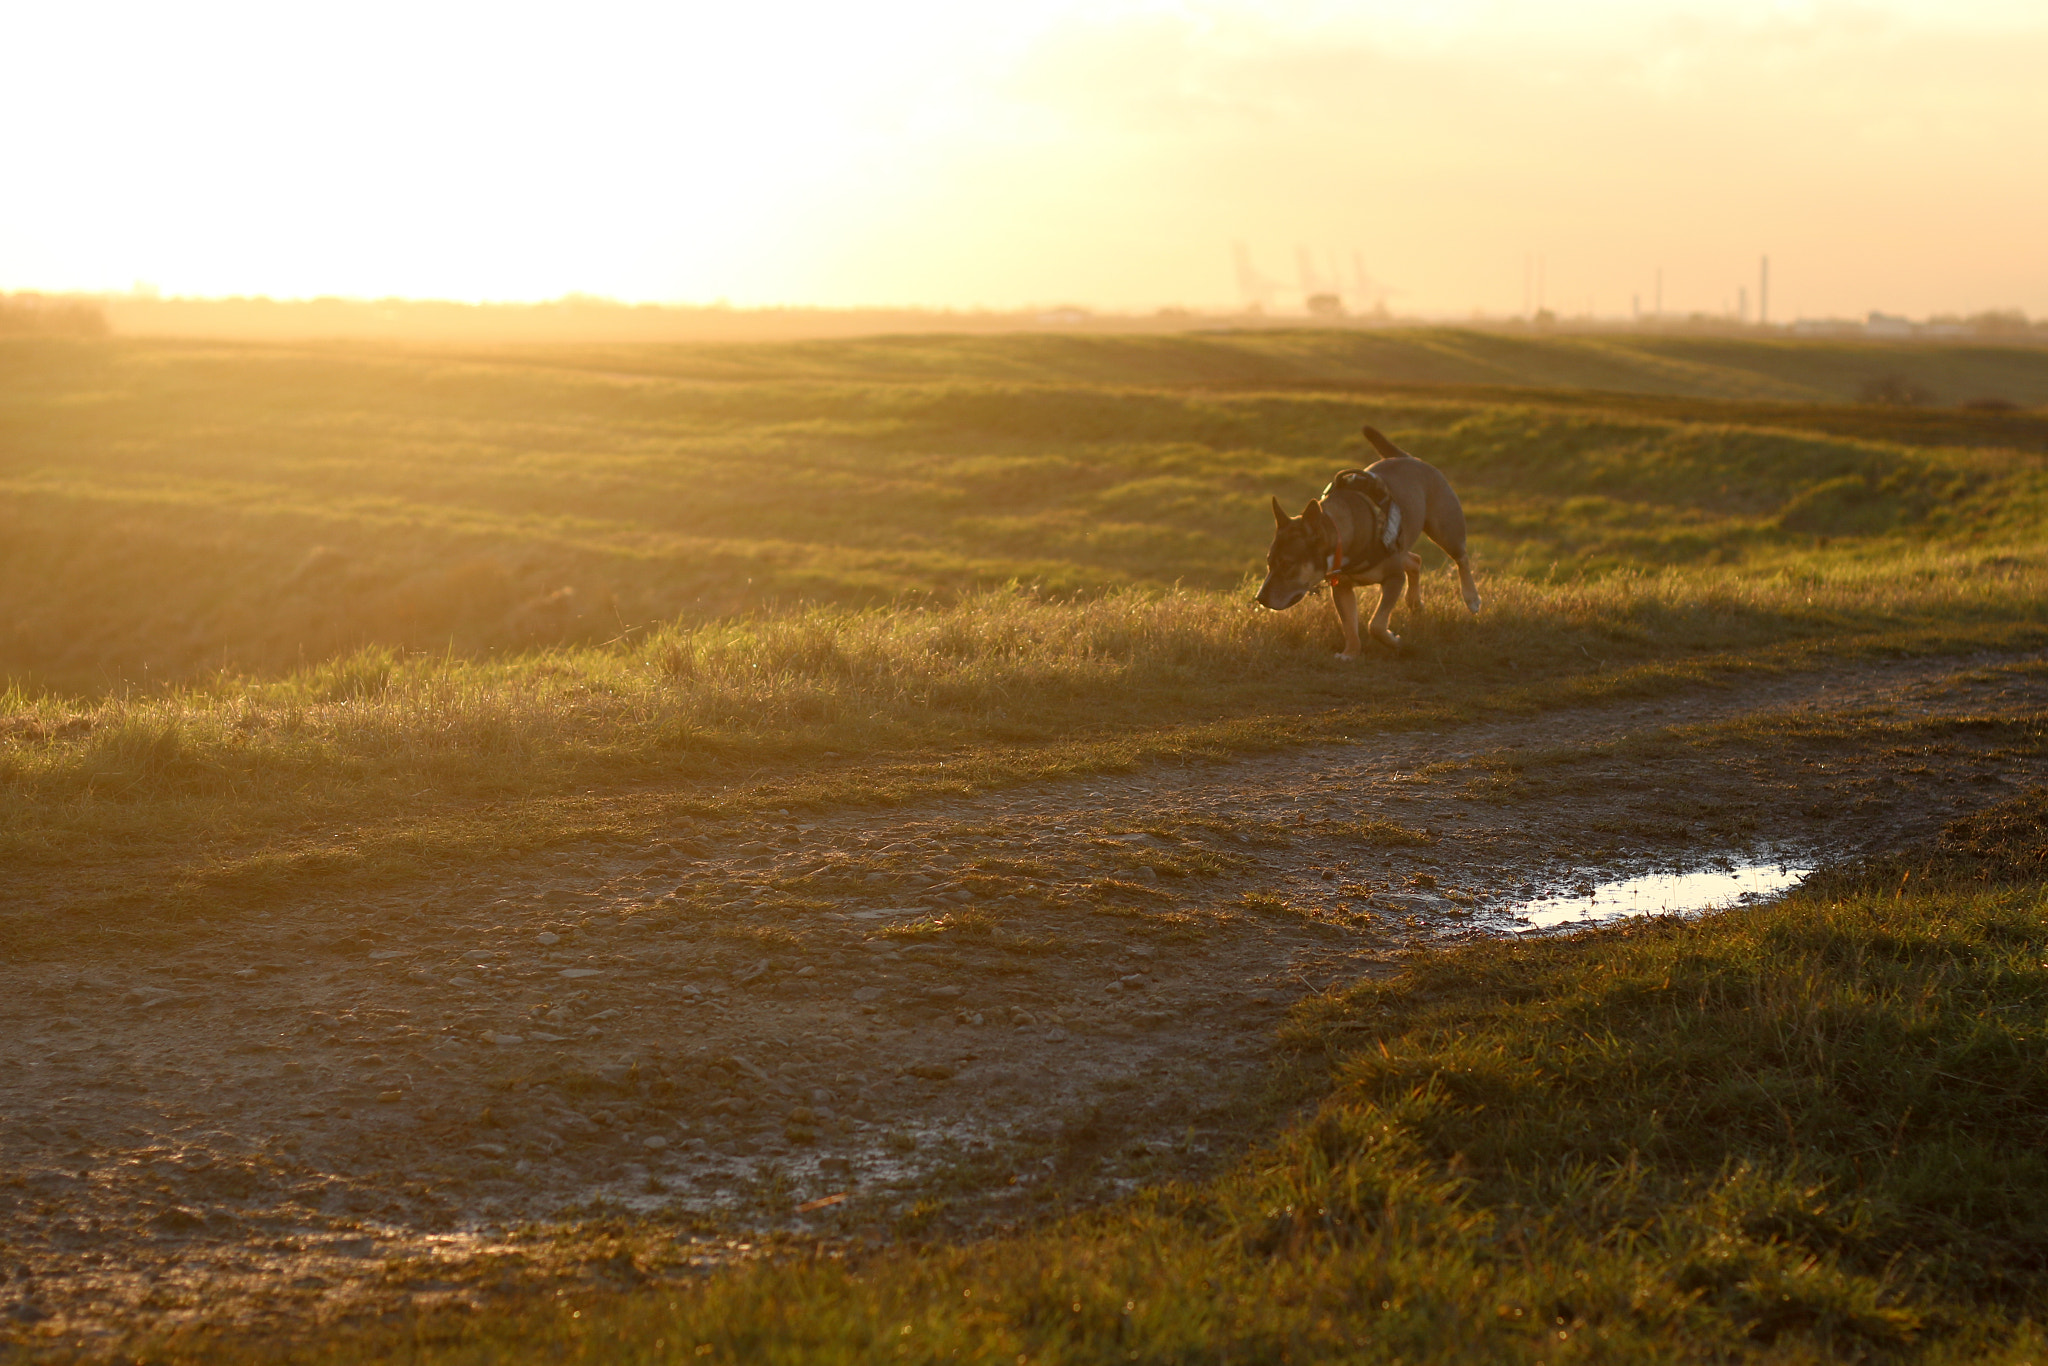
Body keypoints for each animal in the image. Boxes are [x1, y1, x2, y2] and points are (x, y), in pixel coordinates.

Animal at [1253, 428, 1482, 663]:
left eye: (1287, 564)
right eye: (1269, 563)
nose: (1259, 598)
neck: (1339, 534)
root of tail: (1409, 458)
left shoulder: (1394, 577)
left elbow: (1376, 625)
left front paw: (1394, 641)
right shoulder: (1342, 588)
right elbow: (1349, 624)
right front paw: (1350, 653)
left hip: (1443, 527)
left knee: (1460, 557)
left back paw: (1471, 598)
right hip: (1403, 547)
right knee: (1415, 560)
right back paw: (1414, 602)